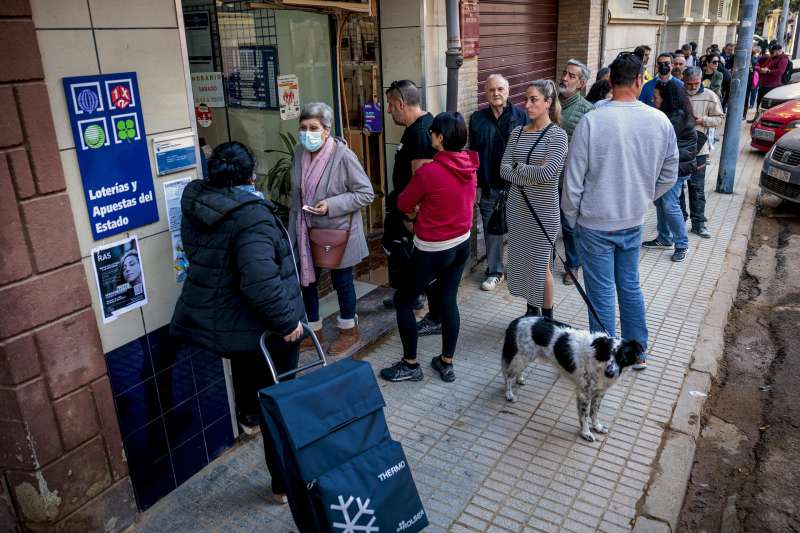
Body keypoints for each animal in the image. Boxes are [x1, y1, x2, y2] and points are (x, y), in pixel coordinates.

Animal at [506, 316, 644, 440]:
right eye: (606, 355)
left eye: (623, 357)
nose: (609, 373)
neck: (597, 363)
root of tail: (518, 320)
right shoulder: (584, 393)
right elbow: (585, 415)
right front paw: (586, 433)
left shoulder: (599, 392)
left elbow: (594, 411)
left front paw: (597, 427)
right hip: (522, 357)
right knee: (507, 375)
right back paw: (509, 395)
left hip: (525, 357)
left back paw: (520, 379)